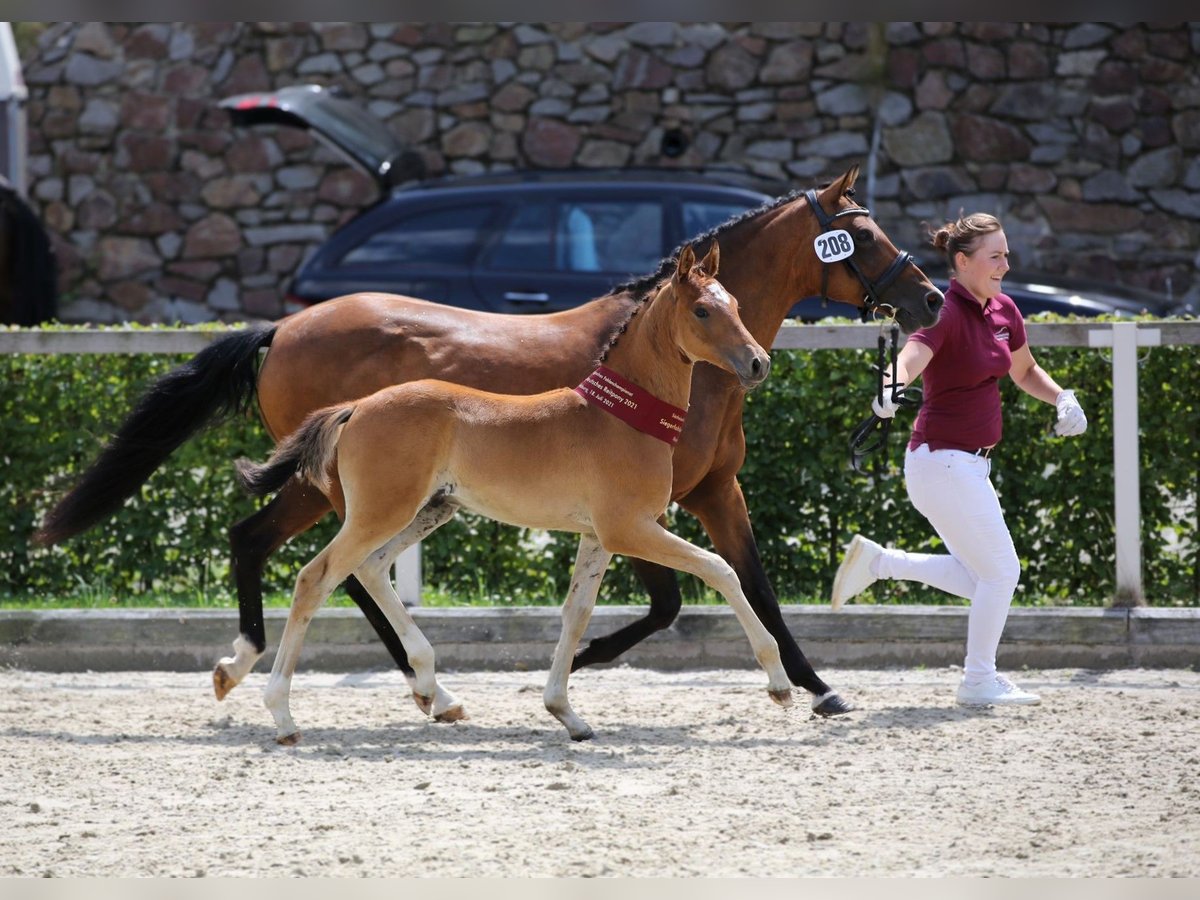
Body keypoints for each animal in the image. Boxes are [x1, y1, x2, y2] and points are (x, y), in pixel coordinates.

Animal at [237, 243, 792, 744]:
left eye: (736, 304)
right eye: (702, 310)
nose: (758, 363)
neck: (620, 418)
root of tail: (355, 408)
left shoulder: (599, 536)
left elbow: (576, 613)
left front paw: (566, 713)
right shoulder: (631, 528)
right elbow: (720, 570)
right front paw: (780, 684)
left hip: (428, 510)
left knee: (369, 569)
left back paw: (430, 688)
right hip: (380, 511)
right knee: (316, 577)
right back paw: (282, 715)